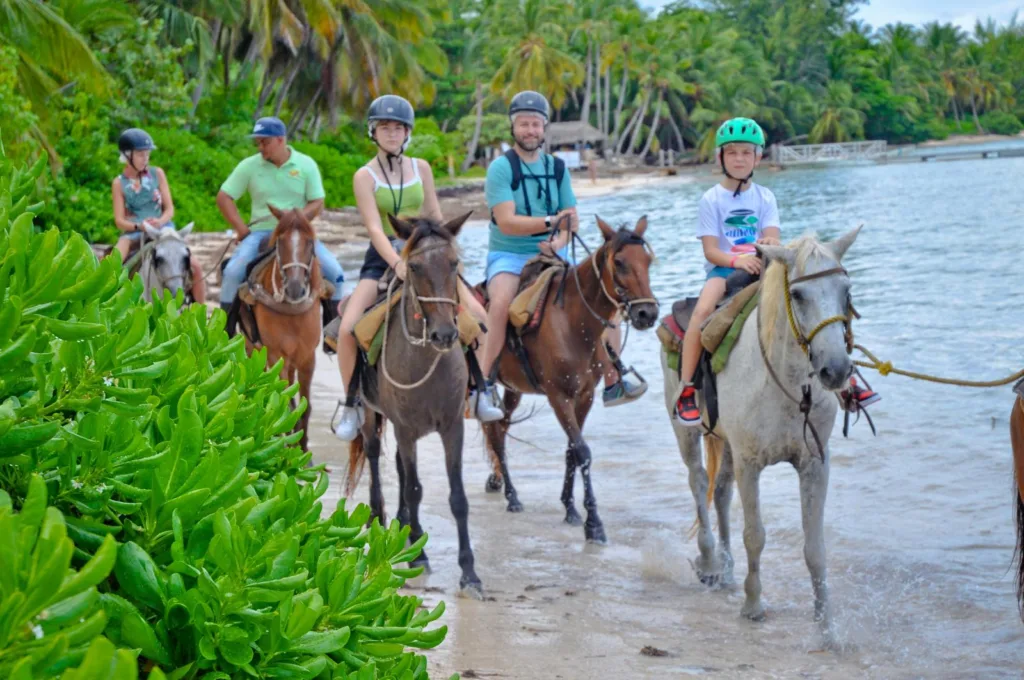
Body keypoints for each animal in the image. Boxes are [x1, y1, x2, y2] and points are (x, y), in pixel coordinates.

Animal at [241, 205, 321, 450]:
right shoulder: (277, 355)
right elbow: (284, 403)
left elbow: (305, 408)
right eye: (280, 242)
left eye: (310, 241)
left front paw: (303, 450)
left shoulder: (308, 357)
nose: (294, 288)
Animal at [342, 210, 481, 593]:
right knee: (376, 455)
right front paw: (419, 553)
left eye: (454, 263)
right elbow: (416, 489)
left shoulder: (452, 427)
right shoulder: (404, 428)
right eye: (415, 267)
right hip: (372, 415)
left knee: (402, 469)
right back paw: (380, 518)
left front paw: (469, 572)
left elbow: (458, 497)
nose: (444, 334)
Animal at [479, 215, 655, 544]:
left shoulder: (584, 395)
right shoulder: (558, 396)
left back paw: (498, 483)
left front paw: (570, 508)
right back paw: (512, 496)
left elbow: (573, 450)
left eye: (648, 260)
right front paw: (593, 523)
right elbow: (582, 451)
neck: (573, 323)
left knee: (501, 428)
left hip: (513, 390)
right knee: (493, 430)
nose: (646, 313)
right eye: (620, 262)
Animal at [663, 225, 864, 647]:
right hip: (687, 434)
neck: (787, 385)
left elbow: (815, 548)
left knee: (721, 493)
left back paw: (724, 570)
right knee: (698, 483)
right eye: (799, 295)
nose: (836, 370)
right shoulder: (750, 464)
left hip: (725, 443)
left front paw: (826, 628)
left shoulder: (814, 465)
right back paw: (710, 562)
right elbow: (755, 535)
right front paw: (753, 606)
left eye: (846, 290)